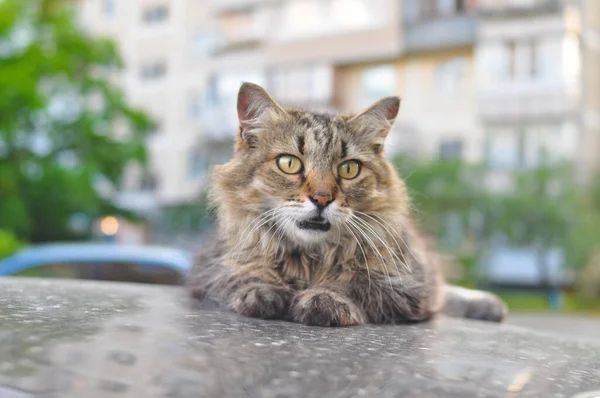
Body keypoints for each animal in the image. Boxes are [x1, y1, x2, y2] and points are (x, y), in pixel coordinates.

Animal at [189, 83, 506, 326]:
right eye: (289, 163)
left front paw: (323, 299)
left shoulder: (408, 285)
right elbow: (246, 276)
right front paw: (264, 292)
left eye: (349, 169)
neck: (311, 258)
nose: (321, 198)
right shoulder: (209, 272)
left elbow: (354, 285)